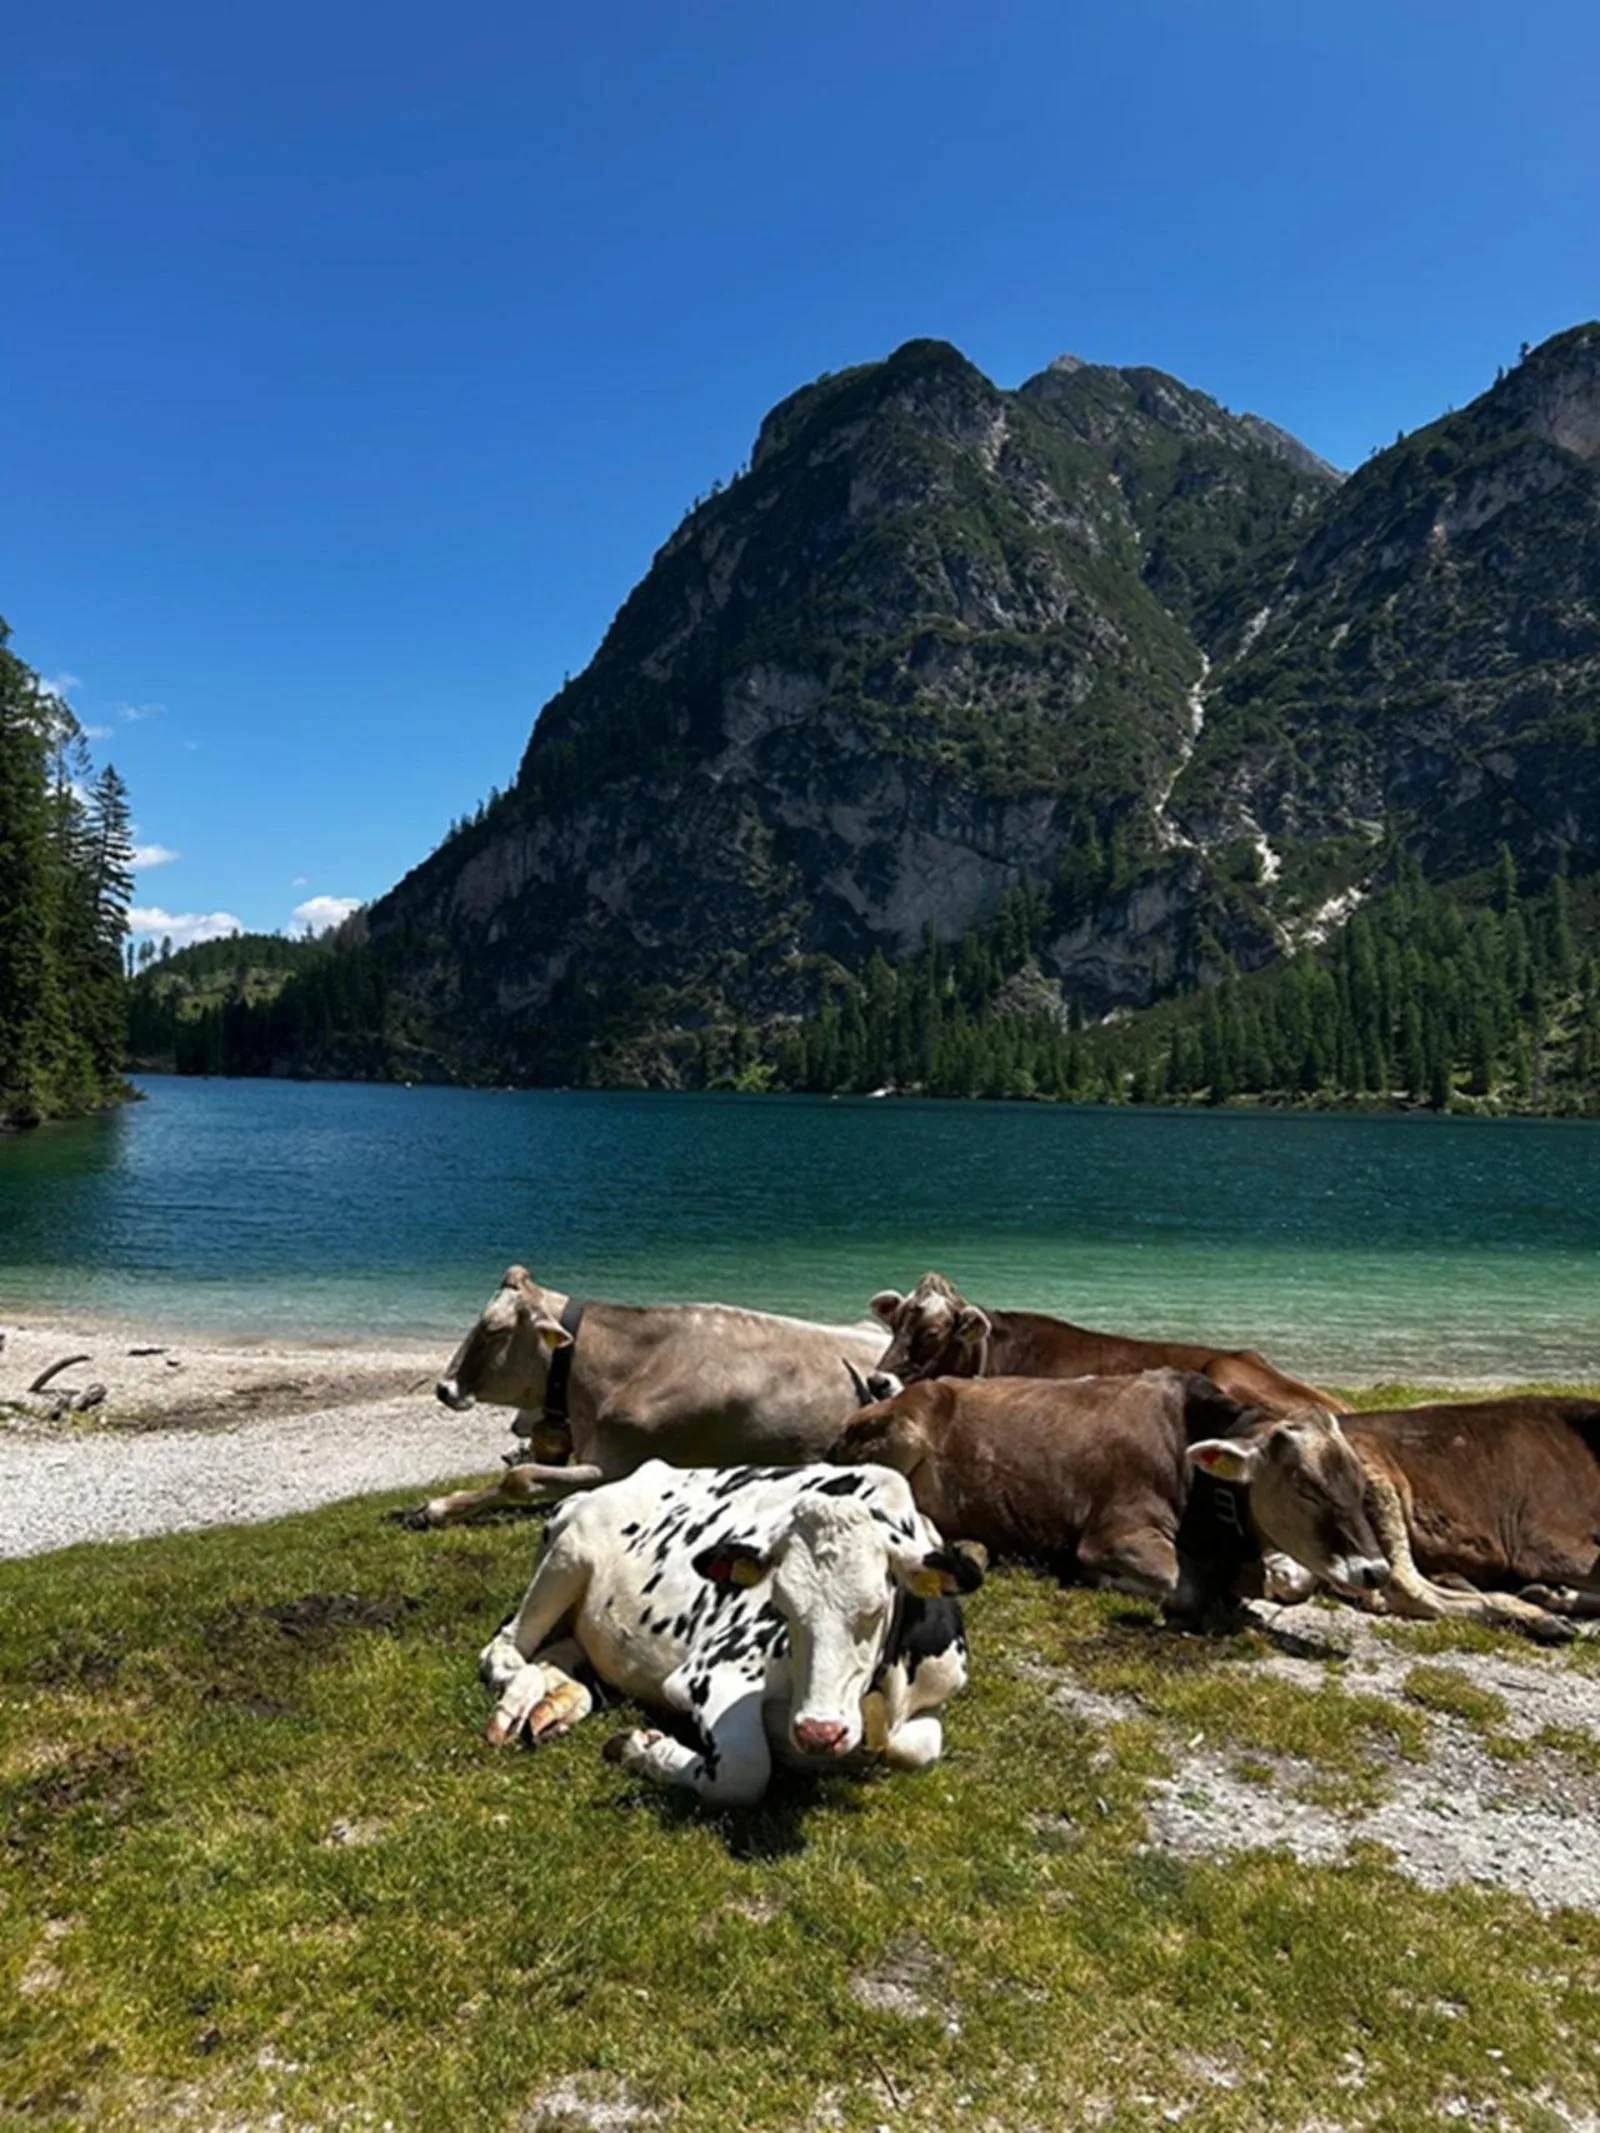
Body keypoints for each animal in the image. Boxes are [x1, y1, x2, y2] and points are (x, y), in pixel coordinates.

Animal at [476, 1458, 983, 1806]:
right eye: (780, 1604)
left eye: (876, 1608)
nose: (819, 1732)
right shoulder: (713, 1671)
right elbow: (743, 1770)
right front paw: (643, 1747)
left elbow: (916, 1747)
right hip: (567, 1555)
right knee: (505, 1650)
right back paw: (519, 1700)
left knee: (561, 1654)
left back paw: (557, 1703)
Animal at [830, 1368, 1390, 1624]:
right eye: (1305, 1486)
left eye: (1359, 1485)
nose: (1375, 1571)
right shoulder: (1115, 1533)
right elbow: (1185, 1585)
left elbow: (1291, 1580)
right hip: (903, 1434)